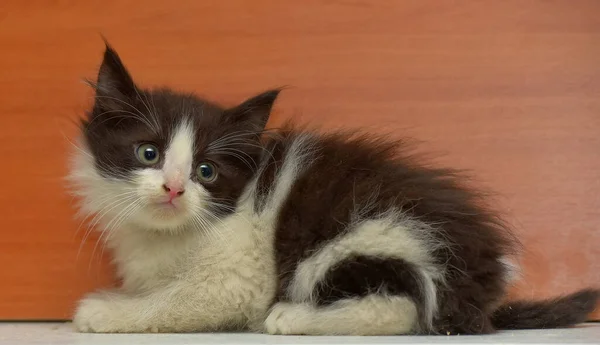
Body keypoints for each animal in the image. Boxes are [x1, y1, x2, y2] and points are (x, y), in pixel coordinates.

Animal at [68, 44, 596, 334]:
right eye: (148, 153)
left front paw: (106, 311)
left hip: (378, 236)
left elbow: (183, 300)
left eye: (205, 171)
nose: (174, 189)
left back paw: (292, 318)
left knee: (400, 308)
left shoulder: (238, 276)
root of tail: (483, 272)